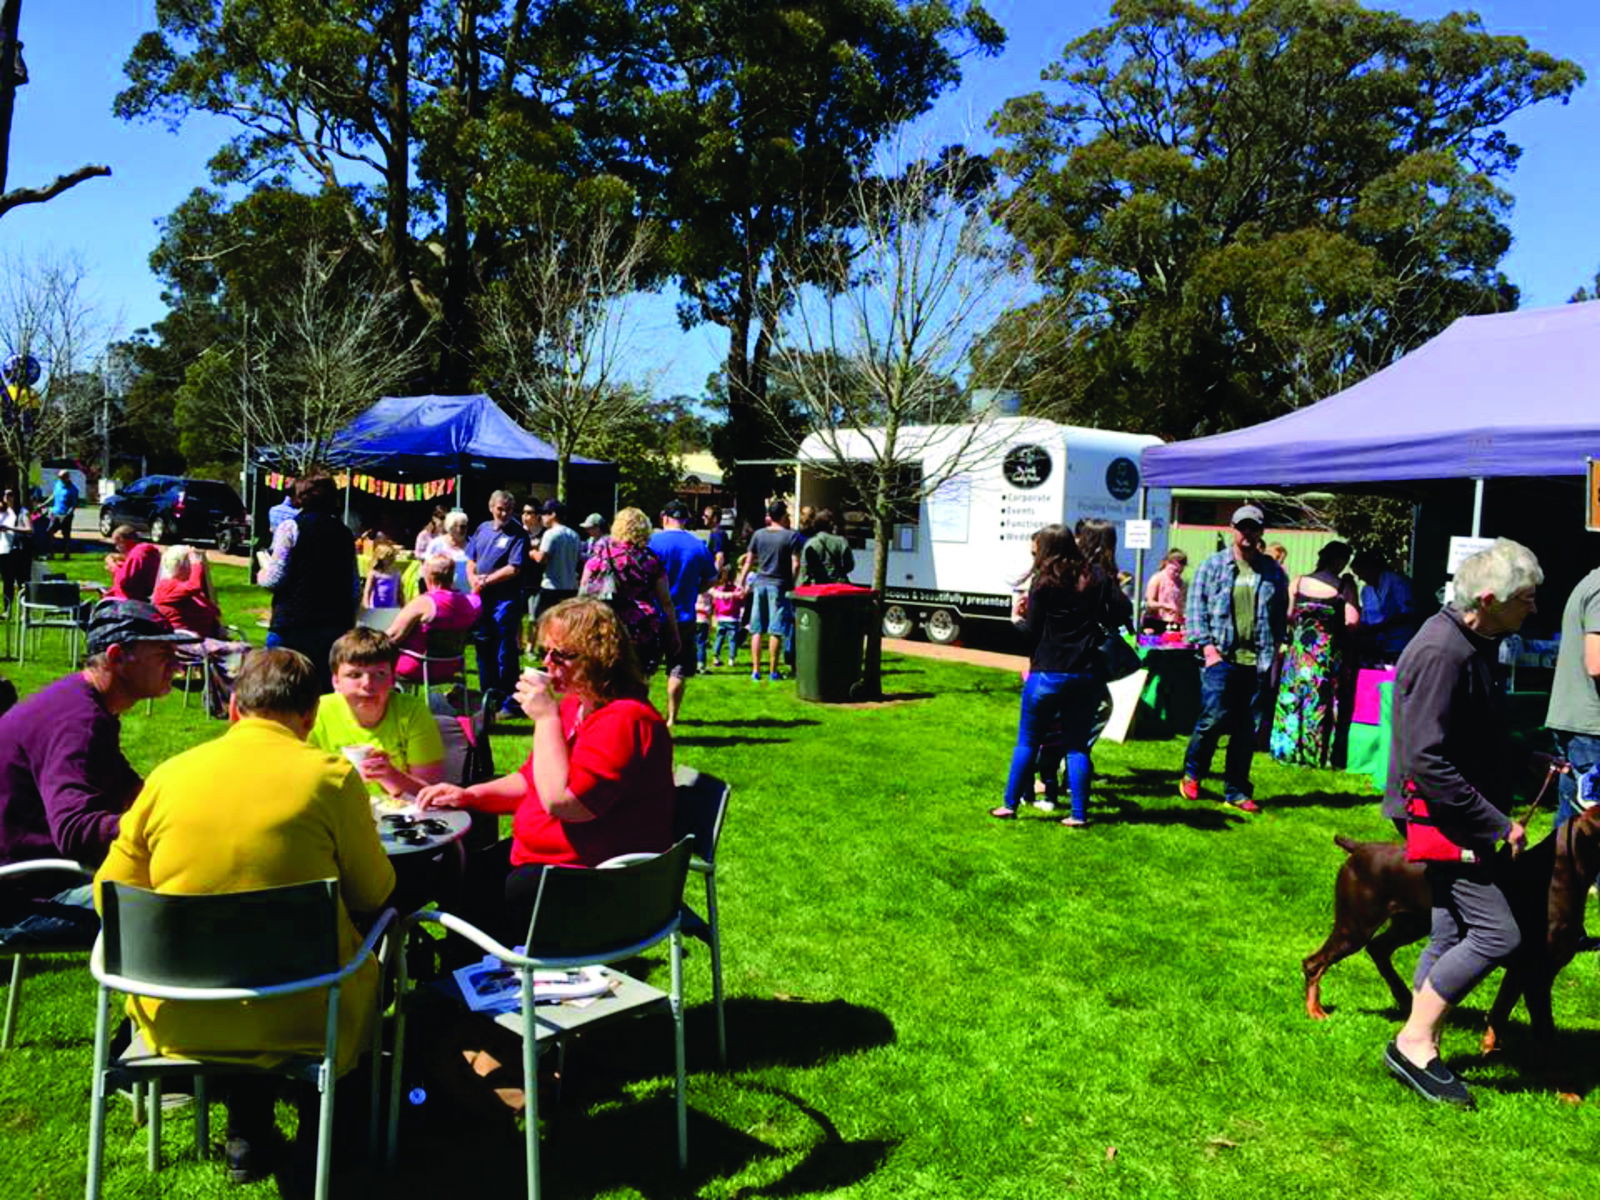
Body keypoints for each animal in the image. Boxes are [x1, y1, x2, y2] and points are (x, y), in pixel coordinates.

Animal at [1299, 809, 1600, 1049]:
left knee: (1378, 948)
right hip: (1357, 925)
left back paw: (1404, 997)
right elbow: (1539, 1027)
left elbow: (1506, 1014)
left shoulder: (1528, 971)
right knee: (1315, 962)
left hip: (1411, 923)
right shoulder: (1535, 972)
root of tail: (1359, 847)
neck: (1556, 875)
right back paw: (1315, 1010)